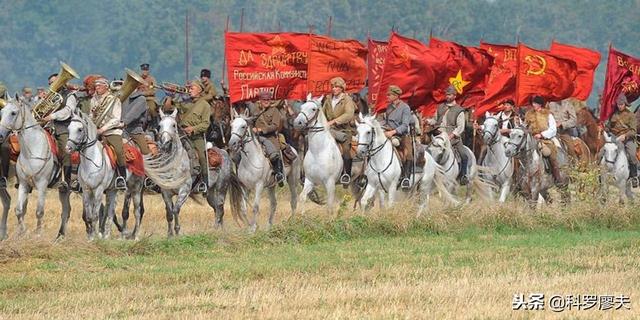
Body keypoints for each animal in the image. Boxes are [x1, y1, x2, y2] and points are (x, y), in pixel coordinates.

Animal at [0, 101, 70, 239]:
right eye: (1, 112)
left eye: (13, 113)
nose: (0, 135)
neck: (32, 150)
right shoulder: (24, 184)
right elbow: (19, 210)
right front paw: (22, 232)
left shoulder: (42, 185)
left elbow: (39, 211)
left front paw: (38, 234)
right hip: (64, 190)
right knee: (66, 210)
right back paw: (60, 237)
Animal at [66, 112, 144, 240]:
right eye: (68, 128)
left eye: (80, 129)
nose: (68, 148)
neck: (92, 161)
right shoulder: (86, 190)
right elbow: (89, 216)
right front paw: (91, 237)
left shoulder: (98, 190)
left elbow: (95, 215)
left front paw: (95, 236)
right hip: (113, 190)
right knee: (111, 211)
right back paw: (107, 235)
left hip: (136, 188)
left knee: (137, 212)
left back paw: (135, 236)